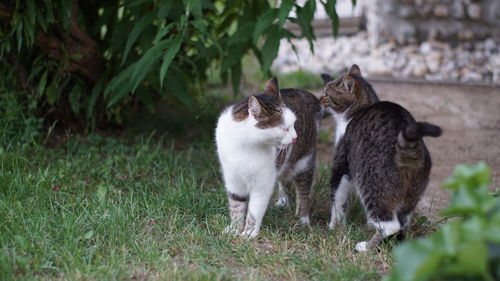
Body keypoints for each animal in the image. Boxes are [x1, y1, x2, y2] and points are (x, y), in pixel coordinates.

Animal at [215, 76, 320, 236]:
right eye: (285, 128)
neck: (245, 145)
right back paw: (283, 202)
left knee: (303, 192)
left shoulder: (262, 183)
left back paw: (303, 219)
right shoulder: (233, 178)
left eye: (294, 124)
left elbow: (254, 209)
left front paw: (249, 233)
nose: (295, 138)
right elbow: (236, 204)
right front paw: (234, 229)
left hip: (304, 161)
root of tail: (305, 93)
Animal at [320, 64, 442, 250]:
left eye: (326, 94)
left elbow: (337, 197)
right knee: (402, 223)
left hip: (371, 186)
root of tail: (409, 148)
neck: (359, 109)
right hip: (411, 196)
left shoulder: (341, 164)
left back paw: (366, 247)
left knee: (389, 225)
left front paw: (334, 226)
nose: (319, 99)